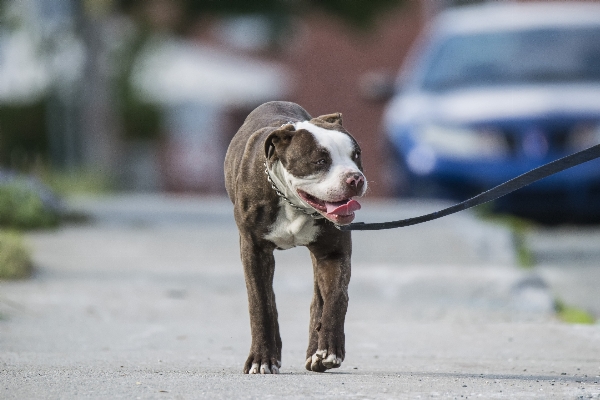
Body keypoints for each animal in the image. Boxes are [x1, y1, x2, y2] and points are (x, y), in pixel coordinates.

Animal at [224, 101, 366, 376]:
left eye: (356, 155)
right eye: (320, 161)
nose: (355, 178)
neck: (294, 202)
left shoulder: (333, 253)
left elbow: (336, 298)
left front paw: (330, 350)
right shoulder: (254, 251)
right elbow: (260, 304)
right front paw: (261, 359)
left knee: (319, 298)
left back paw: (315, 353)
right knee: (269, 302)